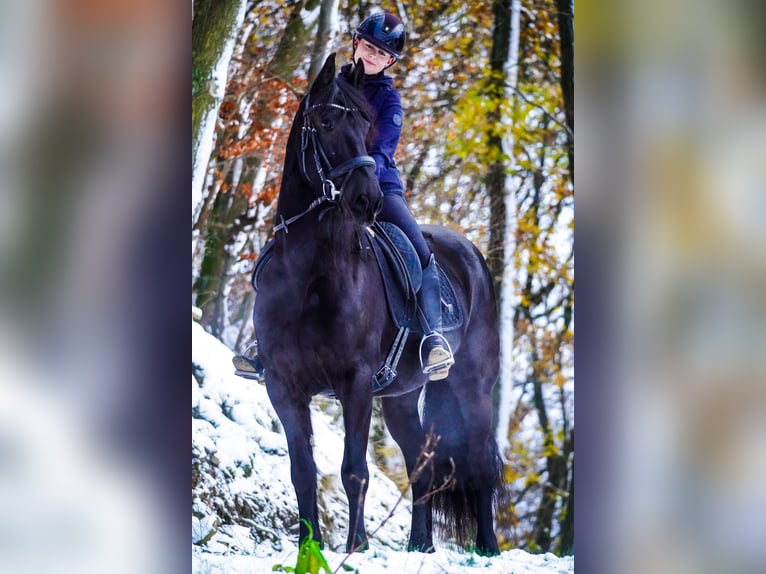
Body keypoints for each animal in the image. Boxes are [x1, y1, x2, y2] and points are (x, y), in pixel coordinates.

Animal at [252, 54, 504, 560]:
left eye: (368, 124)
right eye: (326, 122)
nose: (366, 199)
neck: (308, 276)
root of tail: (470, 252)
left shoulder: (355, 383)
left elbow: (354, 471)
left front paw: (357, 548)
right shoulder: (282, 385)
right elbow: (302, 472)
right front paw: (309, 549)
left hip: (473, 387)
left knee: (480, 464)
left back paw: (487, 549)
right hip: (402, 397)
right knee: (422, 464)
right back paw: (420, 546)